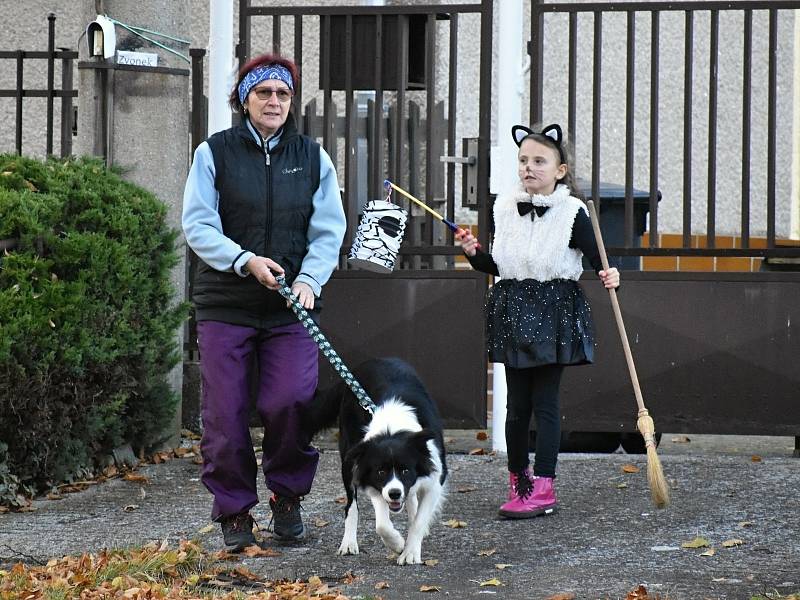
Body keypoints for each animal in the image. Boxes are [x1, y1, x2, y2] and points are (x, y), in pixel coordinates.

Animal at [310, 358, 450, 564]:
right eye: (381, 471)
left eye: (406, 470)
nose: (394, 494)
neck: (392, 429)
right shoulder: (371, 477)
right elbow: (381, 524)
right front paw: (398, 544)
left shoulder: (435, 477)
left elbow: (419, 520)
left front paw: (410, 552)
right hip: (348, 459)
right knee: (351, 505)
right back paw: (349, 543)